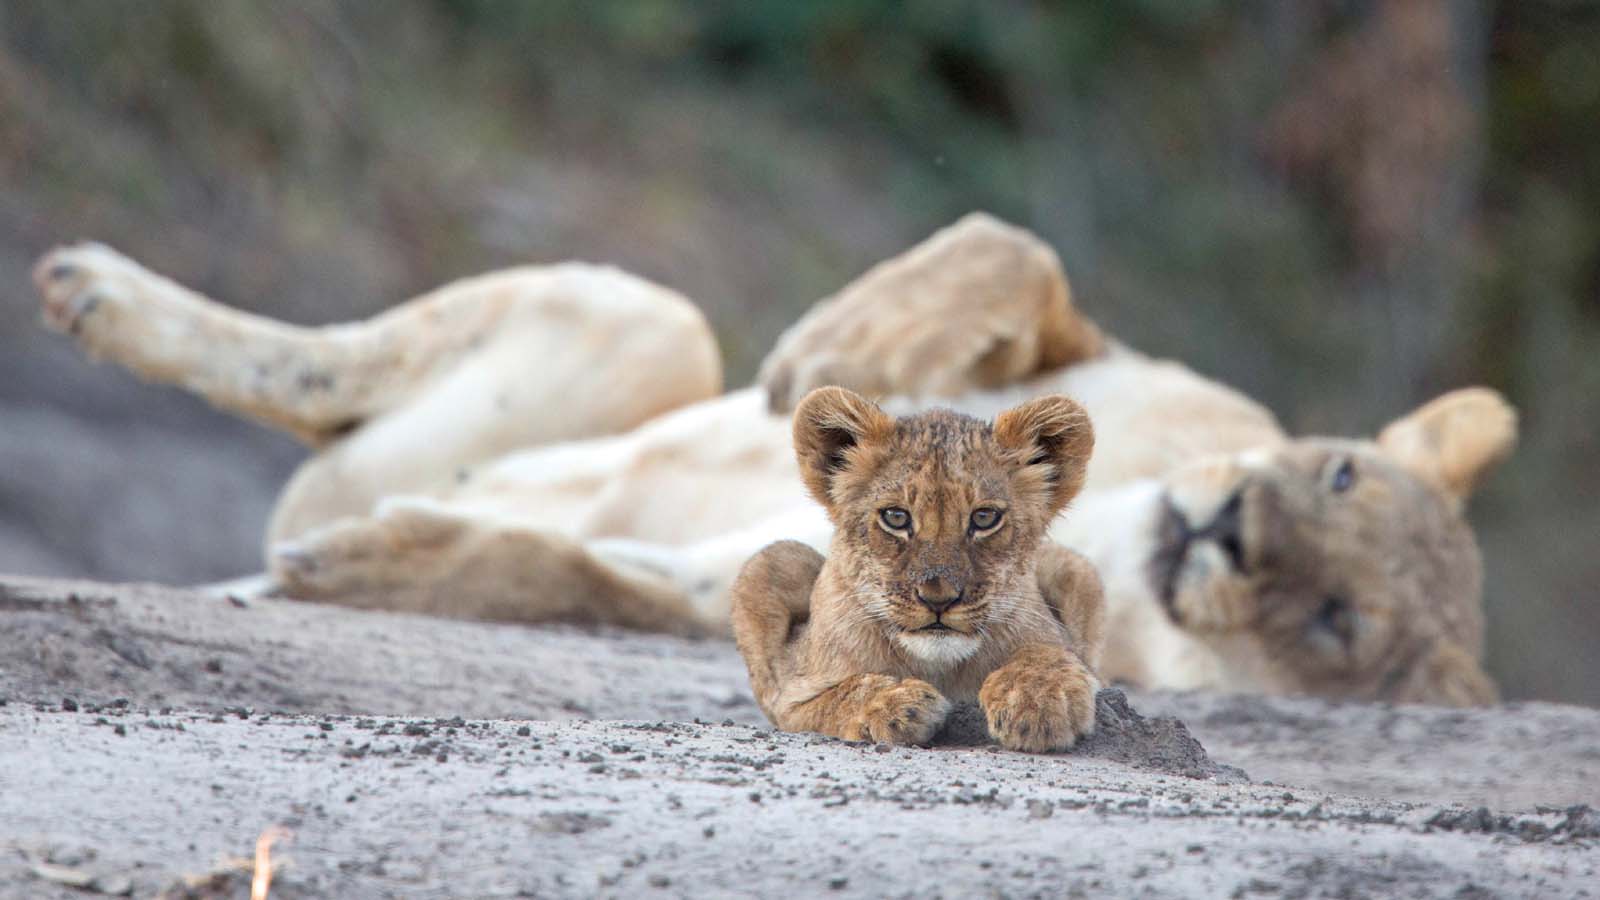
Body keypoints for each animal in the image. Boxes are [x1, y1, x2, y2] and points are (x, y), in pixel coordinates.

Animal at [30, 213, 1517, 705]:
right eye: (1339, 476)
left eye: (1334, 624)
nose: (1231, 533)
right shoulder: (1095, 359)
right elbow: (1012, 254)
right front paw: (833, 355)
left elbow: (561, 574)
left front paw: (365, 566)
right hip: (651, 321)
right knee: (308, 370)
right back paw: (90, 288)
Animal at [730, 388, 1104, 750]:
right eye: (896, 517)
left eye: (985, 518)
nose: (938, 599)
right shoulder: (792, 699)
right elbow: (840, 697)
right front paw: (894, 704)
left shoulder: (1062, 643)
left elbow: (1046, 653)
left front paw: (1037, 701)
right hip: (772, 562)